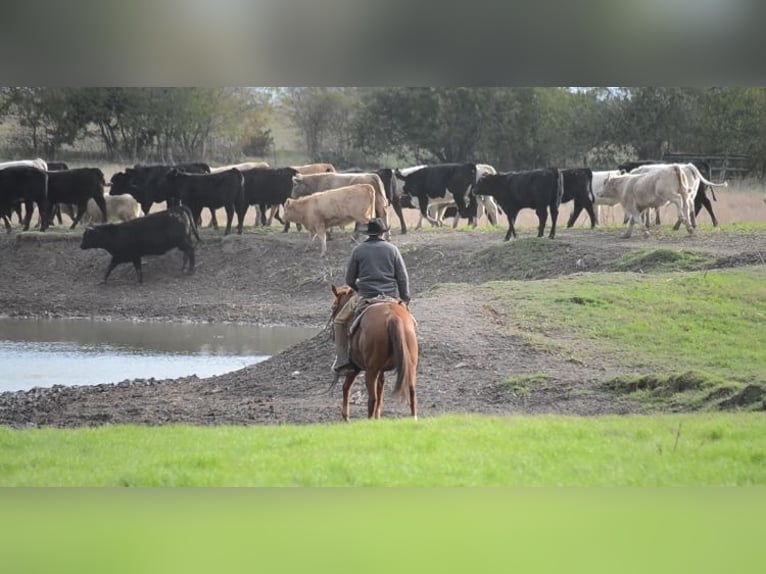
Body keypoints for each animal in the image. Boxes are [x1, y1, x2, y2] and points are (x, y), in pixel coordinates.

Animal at [330, 284, 419, 421]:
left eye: (334, 306)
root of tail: (391, 316)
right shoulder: (380, 370)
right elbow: (380, 391)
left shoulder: (355, 367)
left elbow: (346, 387)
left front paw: (346, 417)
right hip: (410, 366)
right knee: (411, 391)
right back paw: (413, 418)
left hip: (371, 370)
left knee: (372, 398)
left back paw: (369, 421)